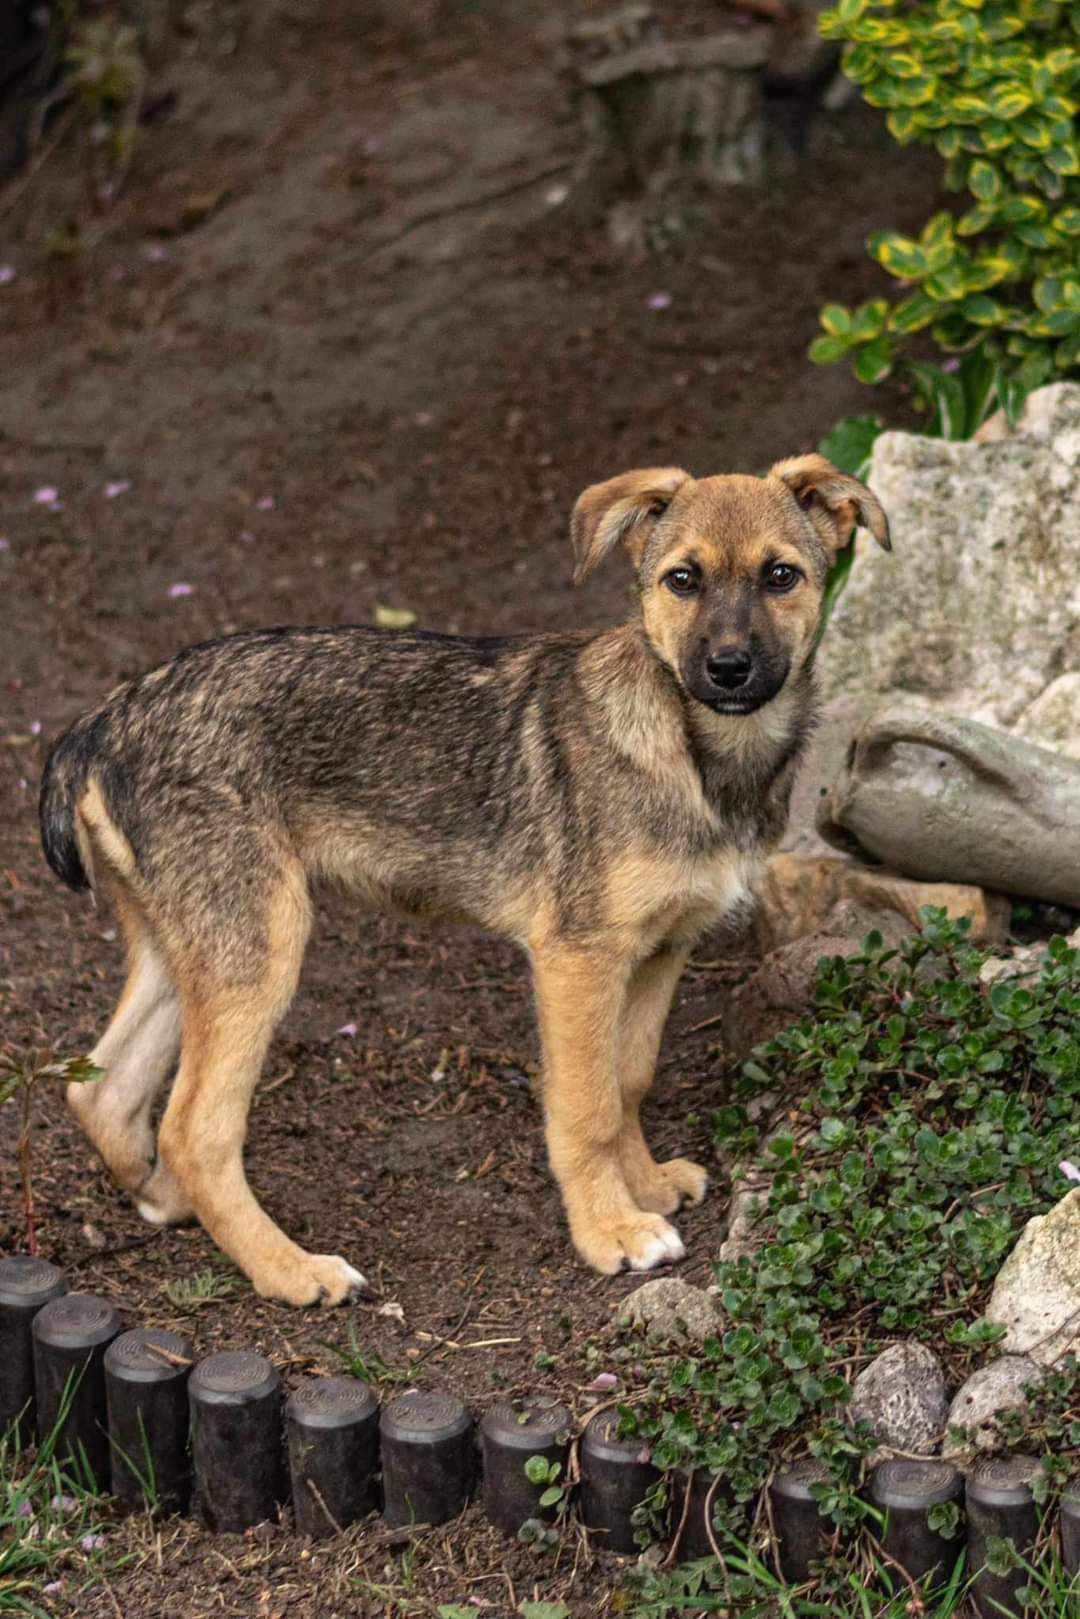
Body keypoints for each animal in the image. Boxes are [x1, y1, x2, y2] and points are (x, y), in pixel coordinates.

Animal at [40, 453, 887, 1301]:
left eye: (781, 575)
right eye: (682, 579)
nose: (728, 667)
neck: (696, 751)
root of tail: (104, 720)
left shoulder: (659, 950)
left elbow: (630, 1079)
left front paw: (642, 1185)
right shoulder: (578, 957)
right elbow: (586, 1105)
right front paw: (611, 1228)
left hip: (190, 945)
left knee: (103, 1090)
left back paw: (170, 1203)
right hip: (259, 945)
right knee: (193, 1128)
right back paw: (291, 1269)